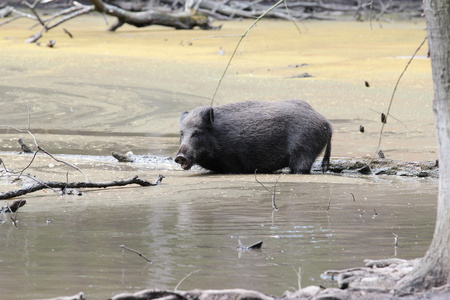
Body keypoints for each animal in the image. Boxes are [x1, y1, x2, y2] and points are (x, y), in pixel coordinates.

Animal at [174, 101, 332, 175]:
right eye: (181, 133)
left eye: (197, 132)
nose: (180, 156)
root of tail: (326, 123)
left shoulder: (233, 163)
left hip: (303, 150)